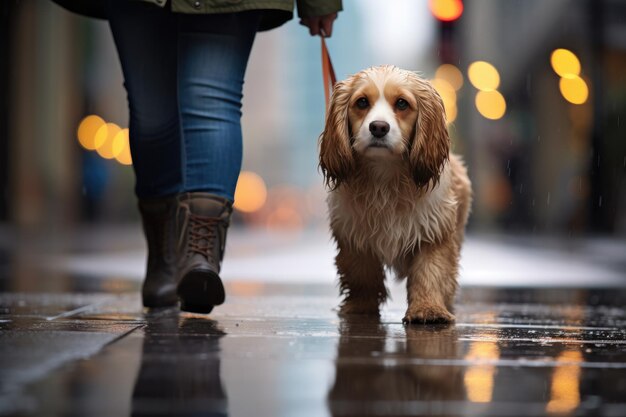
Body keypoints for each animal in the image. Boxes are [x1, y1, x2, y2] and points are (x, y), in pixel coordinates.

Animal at [320, 65, 470, 324]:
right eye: (362, 102)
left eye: (402, 104)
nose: (379, 127)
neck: (385, 177)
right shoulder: (355, 238)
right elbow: (362, 277)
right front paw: (360, 307)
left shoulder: (434, 234)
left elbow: (431, 272)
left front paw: (428, 309)